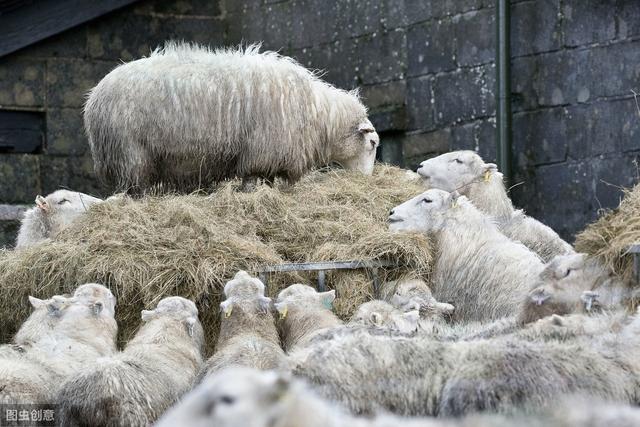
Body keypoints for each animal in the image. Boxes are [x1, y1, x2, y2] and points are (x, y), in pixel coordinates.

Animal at [82, 42, 378, 193]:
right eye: (373, 144)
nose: (367, 180)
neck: (320, 116)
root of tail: (94, 99)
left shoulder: (270, 155)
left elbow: (266, 180)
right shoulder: (262, 150)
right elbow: (251, 178)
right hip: (130, 151)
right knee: (135, 186)